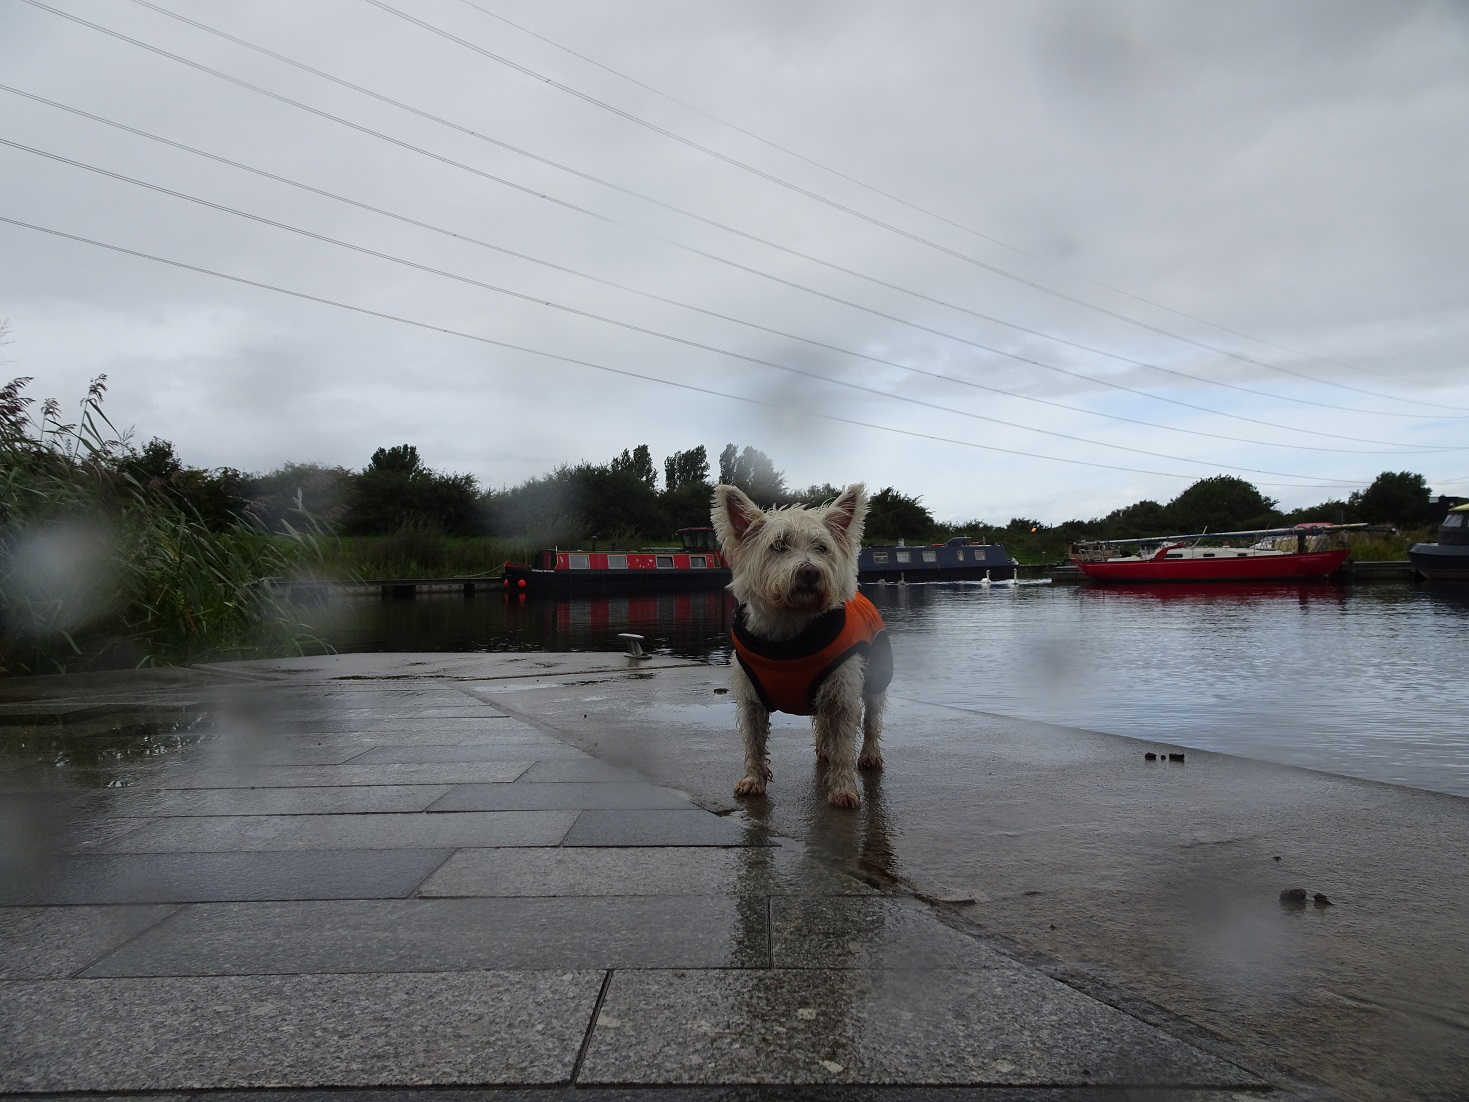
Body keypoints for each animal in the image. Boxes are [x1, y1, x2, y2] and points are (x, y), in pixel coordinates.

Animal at [708, 484, 887, 811]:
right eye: (778, 546)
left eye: (822, 548)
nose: (810, 572)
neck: (790, 632)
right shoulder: (751, 698)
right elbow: (754, 741)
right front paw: (753, 780)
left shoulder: (842, 692)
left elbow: (845, 743)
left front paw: (843, 789)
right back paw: (824, 749)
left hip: (877, 675)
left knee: (871, 719)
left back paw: (869, 755)